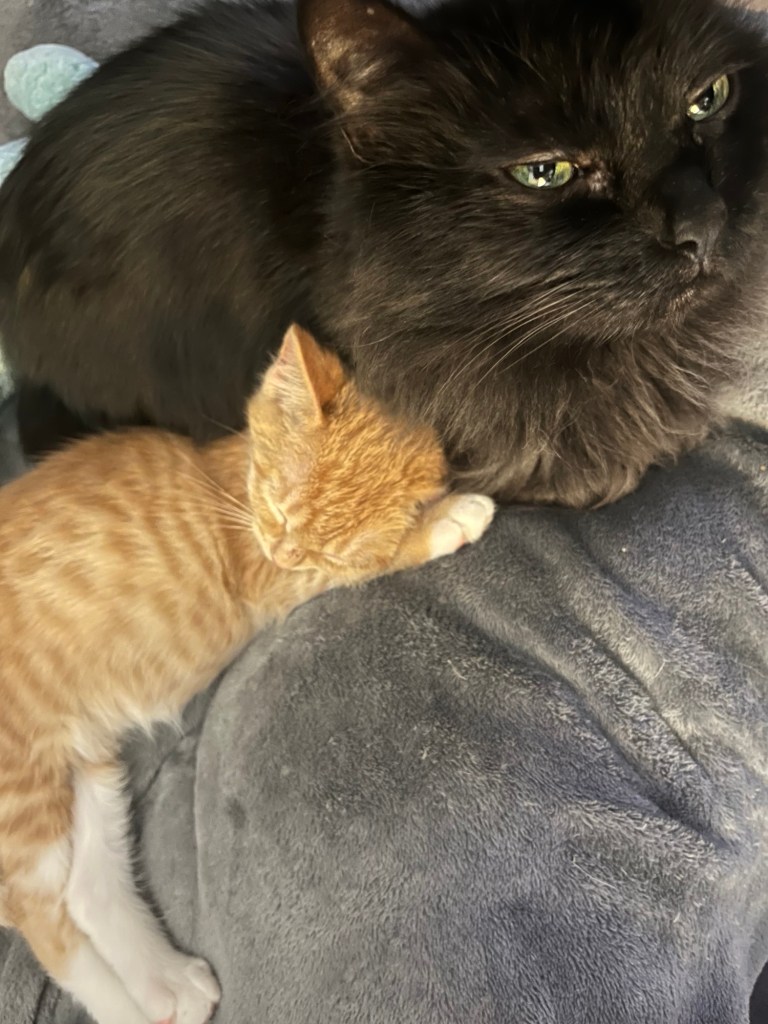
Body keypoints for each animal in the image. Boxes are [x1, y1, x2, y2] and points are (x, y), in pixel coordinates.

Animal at [0, 323, 495, 1024]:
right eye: (281, 511)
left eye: (322, 544)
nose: (284, 547)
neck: (237, 484)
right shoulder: (261, 576)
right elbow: (369, 562)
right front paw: (447, 518)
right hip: (20, 793)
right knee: (38, 915)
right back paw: (124, 1005)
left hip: (83, 762)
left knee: (87, 892)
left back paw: (167, 984)